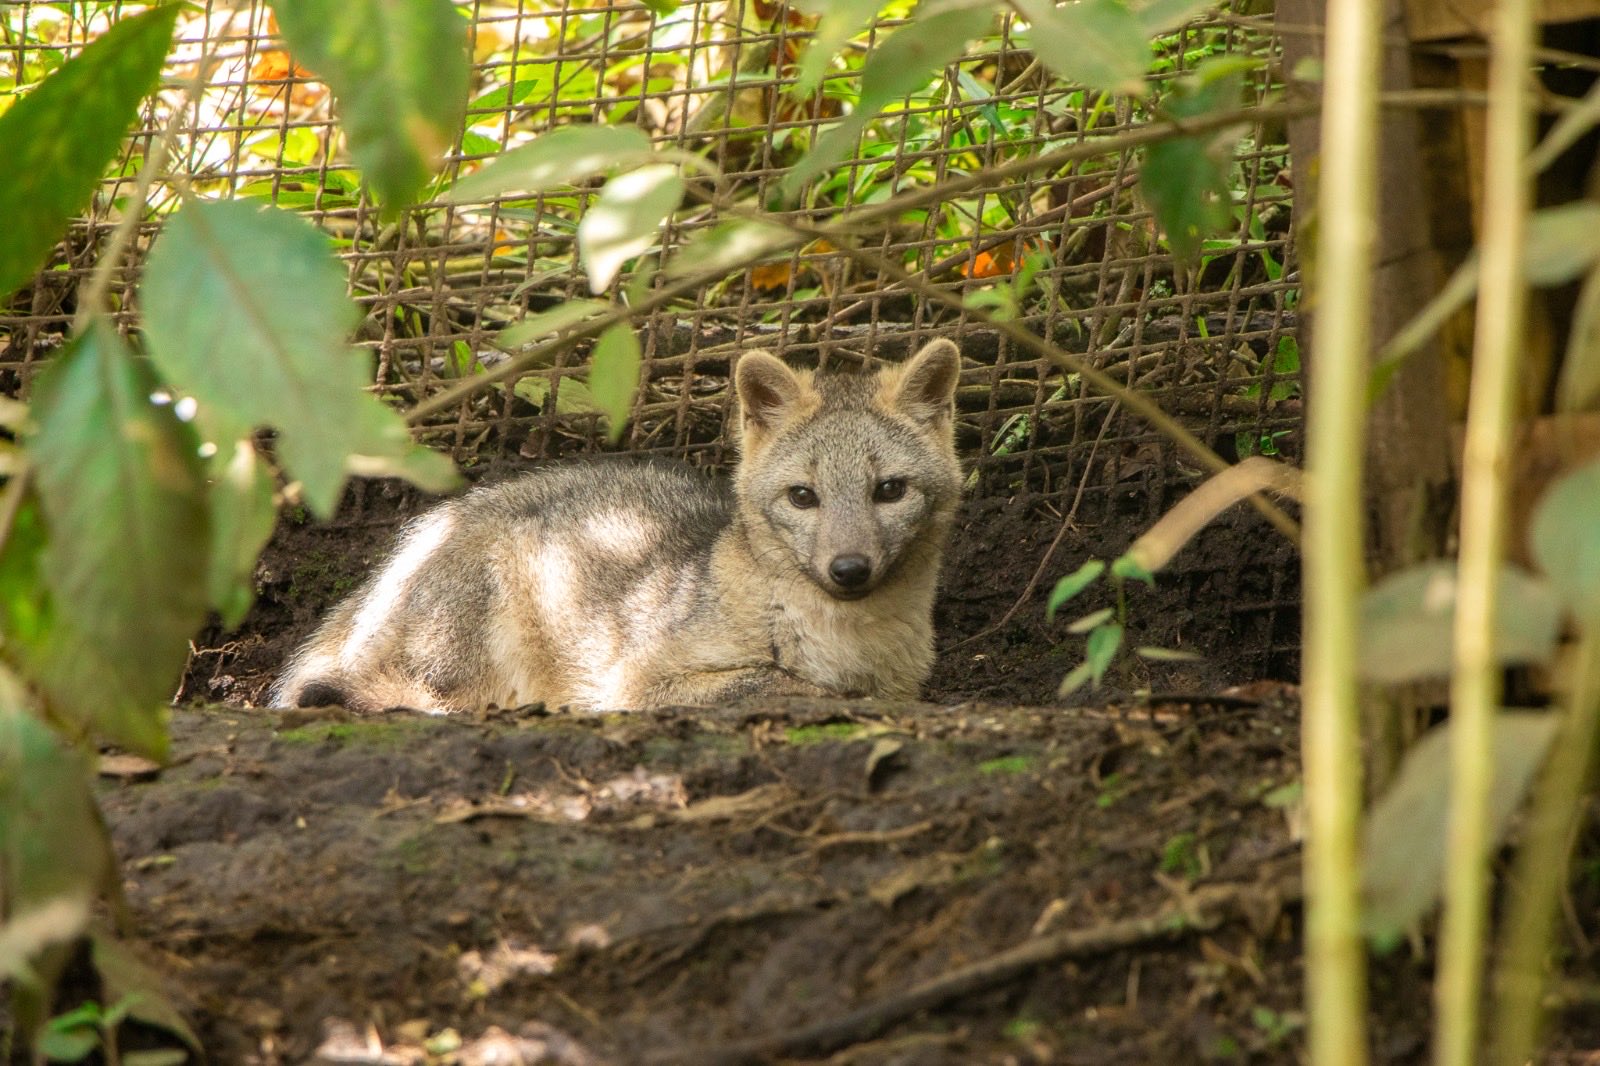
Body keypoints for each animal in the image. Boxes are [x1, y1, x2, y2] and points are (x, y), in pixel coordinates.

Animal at [267, 336, 960, 710]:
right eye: (803, 497)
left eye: (889, 490)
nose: (849, 569)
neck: (843, 643)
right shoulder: (640, 683)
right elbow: (776, 682)